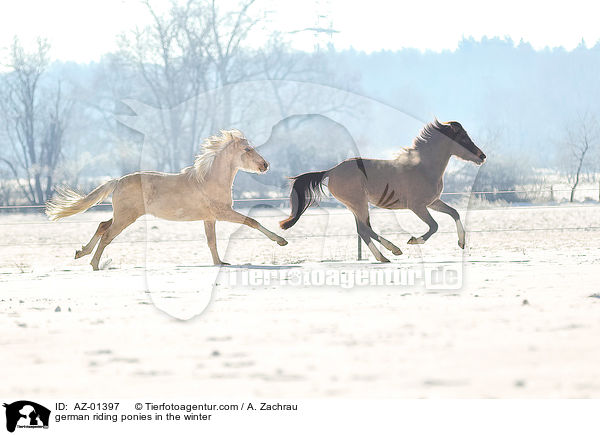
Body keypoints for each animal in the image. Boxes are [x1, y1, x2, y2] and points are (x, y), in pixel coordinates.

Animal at [48, 130, 288, 270]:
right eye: (247, 149)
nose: (265, 165)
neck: (208, 179)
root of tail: (117, 181)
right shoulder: (222, 213)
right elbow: (252, 222)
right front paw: (281, 240)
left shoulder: (209, 218)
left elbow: (211, 241)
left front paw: (220, 263)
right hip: (126, 217)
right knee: (107, 234)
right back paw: (94, 264)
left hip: (123, 215)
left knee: (101, 225)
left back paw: (81, 252)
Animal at [282, 119, 488, 262]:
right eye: (462, 137)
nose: (482, 156)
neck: (423, 167)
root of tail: (331, 171)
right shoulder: (417, 206)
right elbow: (434, 226)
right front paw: (413, 240)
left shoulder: (433, 202)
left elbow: (454, 213)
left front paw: (462, 243)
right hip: (359, 203)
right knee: (366, 230)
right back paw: (394, 250)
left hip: (355, 206)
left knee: (363, 231)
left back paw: (383, 257)